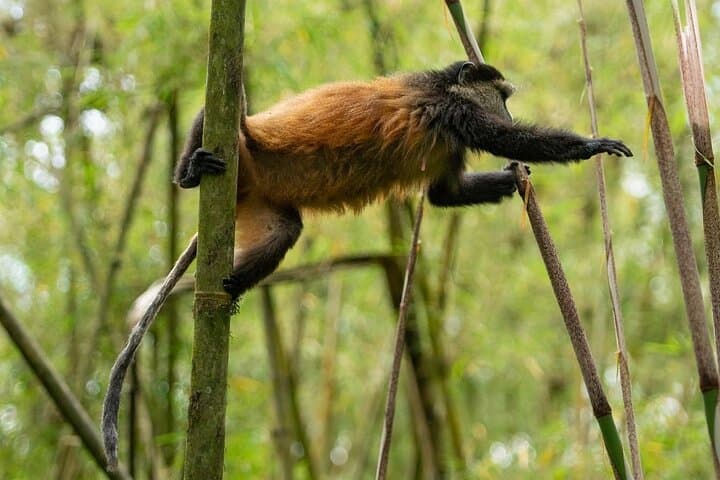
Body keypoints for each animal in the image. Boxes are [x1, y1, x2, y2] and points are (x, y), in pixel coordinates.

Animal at [175, 61, 632, 298]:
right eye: (501, 97)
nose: (505, 110)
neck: (444, 88)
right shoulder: (455, 111)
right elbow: (508, 138)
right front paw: (591, 146)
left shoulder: (452, 141)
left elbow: (445, 195)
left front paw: (513, 180)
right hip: (241, 147)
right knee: (215, 114)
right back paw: (190, 173)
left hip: (256, 196)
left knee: (284, 230)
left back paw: (232, 287)